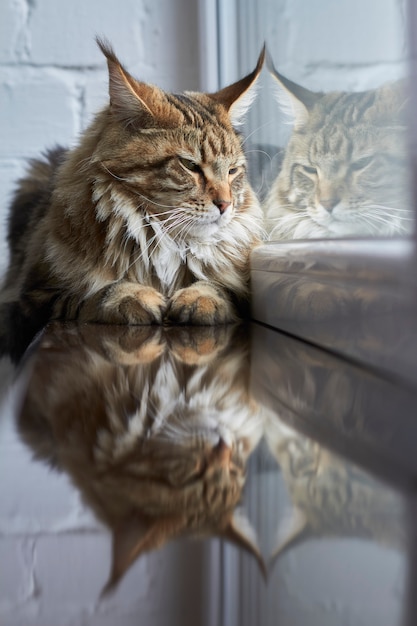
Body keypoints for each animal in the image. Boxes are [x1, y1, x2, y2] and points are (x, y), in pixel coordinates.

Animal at [0, 37, 264, 346]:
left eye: (233, 171)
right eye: (190, 165)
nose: (225, 204)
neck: (164, 239)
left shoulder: (241, 289)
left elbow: (219, 287)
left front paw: (200, 299)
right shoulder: (32, 297)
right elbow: (89, 294)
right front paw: (132, 297)